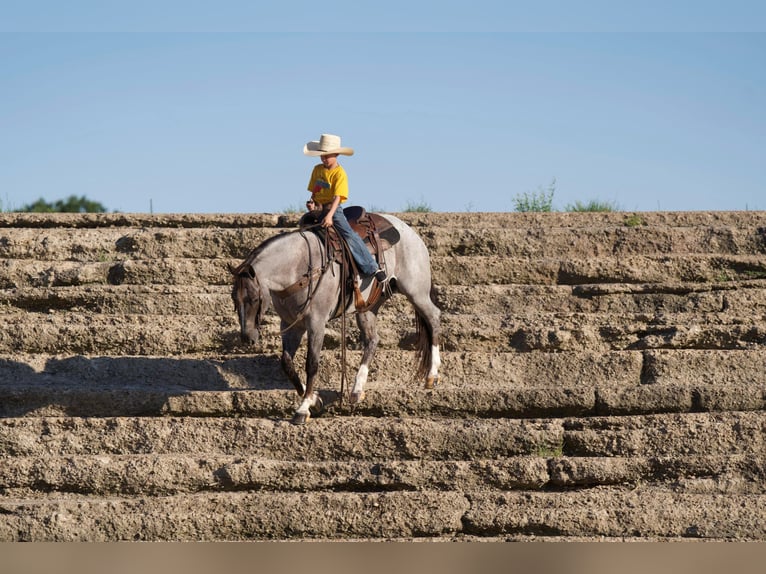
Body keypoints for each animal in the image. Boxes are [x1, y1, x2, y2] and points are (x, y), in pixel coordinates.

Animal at [231, 213, 440, 428]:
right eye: (234, 299)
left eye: (254, 299)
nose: (247, 337)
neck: (298, 267)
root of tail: (409, 231)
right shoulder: (291, 325)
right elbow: (287, 363)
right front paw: (315, 400)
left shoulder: (316, 323)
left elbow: (312, 363)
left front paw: (303, 408)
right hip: (367, 307)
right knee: (372, 339)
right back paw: (356, 390)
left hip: (416, 292)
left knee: (433, 318)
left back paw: (432, 375)